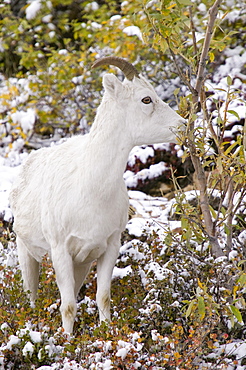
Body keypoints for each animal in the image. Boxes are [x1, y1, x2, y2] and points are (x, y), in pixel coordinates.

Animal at [9, 56, 184, 334]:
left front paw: (107, 331)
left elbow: (102, 297)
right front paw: (67, 340)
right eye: (146, 99)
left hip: (80, 266)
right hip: (26, 254)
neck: (91, 190)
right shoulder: (60, 252)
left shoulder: (108, 248)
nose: (183, 126)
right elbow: (68, 306)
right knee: (31, 294)